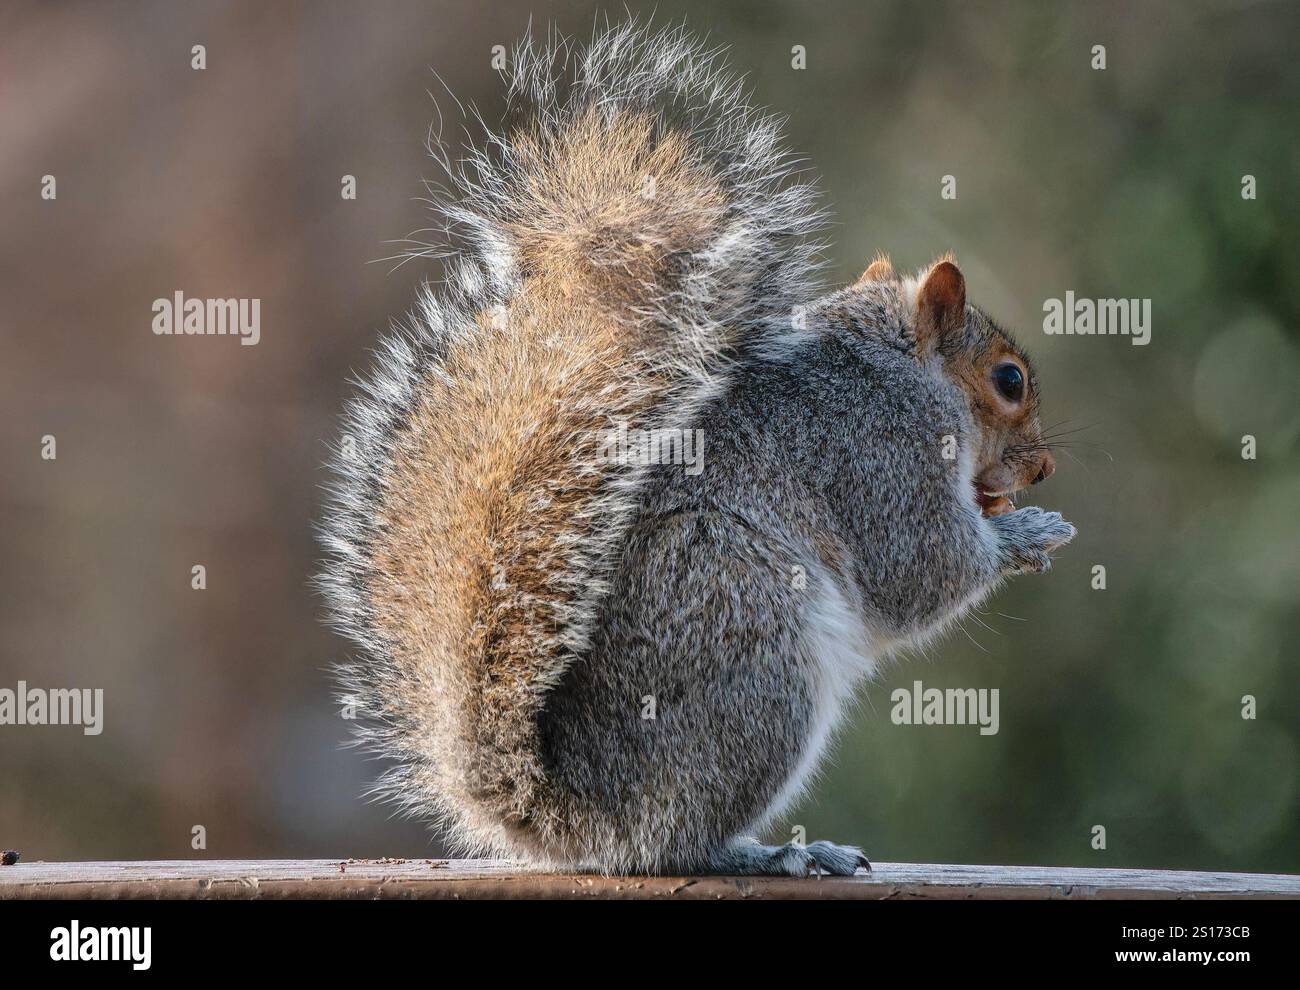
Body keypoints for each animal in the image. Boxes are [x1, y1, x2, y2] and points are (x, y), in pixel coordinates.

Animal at [319, 22, 1076, 876]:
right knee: (674, 842)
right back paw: (769, 854)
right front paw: (1028, 533)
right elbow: (919, 571)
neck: (897, 367)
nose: (1044, 467)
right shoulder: (877, 451)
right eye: (1009, 380)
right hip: (753, 649)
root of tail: (577, 818)